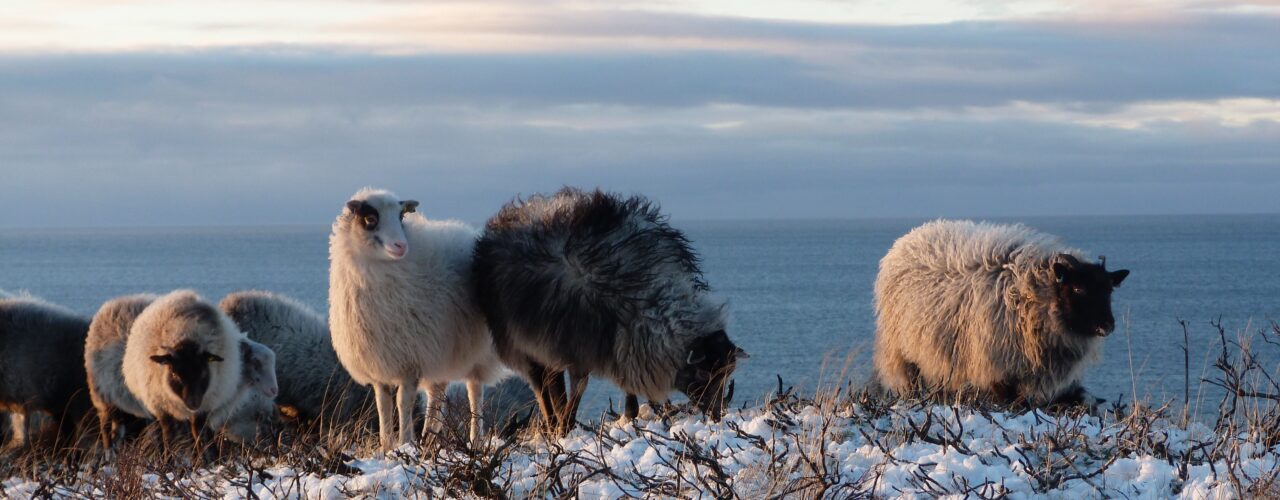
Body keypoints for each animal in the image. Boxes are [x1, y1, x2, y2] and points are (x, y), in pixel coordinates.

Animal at [327, 187, 501, 450]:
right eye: (370, 218)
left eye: (401, 217)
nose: (401, 245)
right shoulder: (380, 365)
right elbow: (383, 405)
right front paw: (386, 446)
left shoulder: (409, 359)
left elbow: (403, 402)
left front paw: (405, 443)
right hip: (442, 352)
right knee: (437, 393)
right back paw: (429, 438)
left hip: (478, 353)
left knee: (474, 391)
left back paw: (475, 440)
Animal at [476, 187, 747, 434]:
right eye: (702, 373)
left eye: (725, 375)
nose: (716, 415)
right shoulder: (580, 344)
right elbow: (580, 386)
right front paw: (567, 425)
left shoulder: (625, 342)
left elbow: (623, 383)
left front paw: (629, 415)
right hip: (523, 343)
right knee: (540, 385)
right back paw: (554, 422)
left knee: (551, 381)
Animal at [870, 219, 1131, 406]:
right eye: (1077, 289)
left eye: (1109, 290)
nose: (1107, 326)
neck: (1032, 296)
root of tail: (906, 240)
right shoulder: (996, 368)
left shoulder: (1027, 377)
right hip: (902, 352)